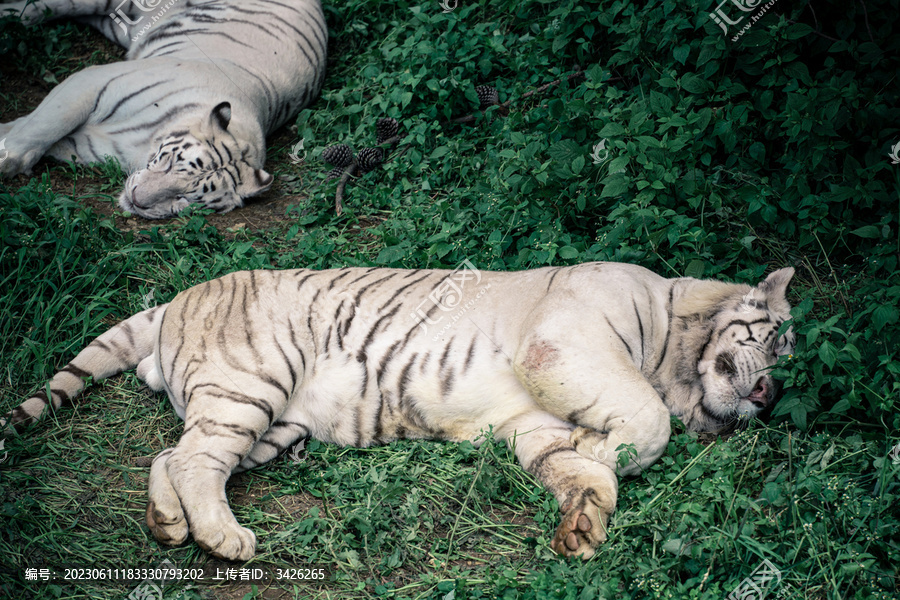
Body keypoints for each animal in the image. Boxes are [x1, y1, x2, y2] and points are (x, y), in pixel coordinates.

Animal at [0, 0, 324, 219]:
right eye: (170, 164)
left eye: (186, 197)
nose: (136, 199)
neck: (142, 144)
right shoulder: (91, 81)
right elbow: (42, 124)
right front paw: (7, 158)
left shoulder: (82, 144)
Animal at [5, 264, 796, 560]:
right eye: (777, 341)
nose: (770, 396)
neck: (675, 346)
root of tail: (178, 296)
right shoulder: (565, 342)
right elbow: (645, 418)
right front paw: (609, 448)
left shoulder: (534, 427)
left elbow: (578, 471)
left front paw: (582, 523)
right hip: (249, 384)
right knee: (196, 458)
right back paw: (224, 538)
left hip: (266, 422)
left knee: (171, 452)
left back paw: (168, 524)